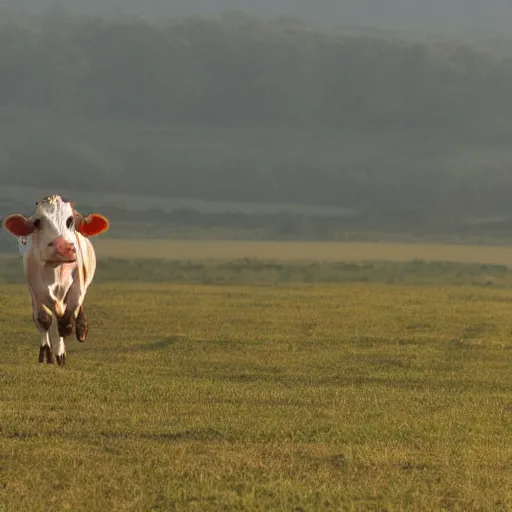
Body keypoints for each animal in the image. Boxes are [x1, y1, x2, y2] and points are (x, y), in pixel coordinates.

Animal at [2, 194, 108, 366]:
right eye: (37, 222)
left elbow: (65, 321)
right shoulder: (36, 291)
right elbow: (44, 320)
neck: (56, 272)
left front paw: (62, 350)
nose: (62, 248)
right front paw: (46, 353)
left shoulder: (78, 287)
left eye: (71, 220)